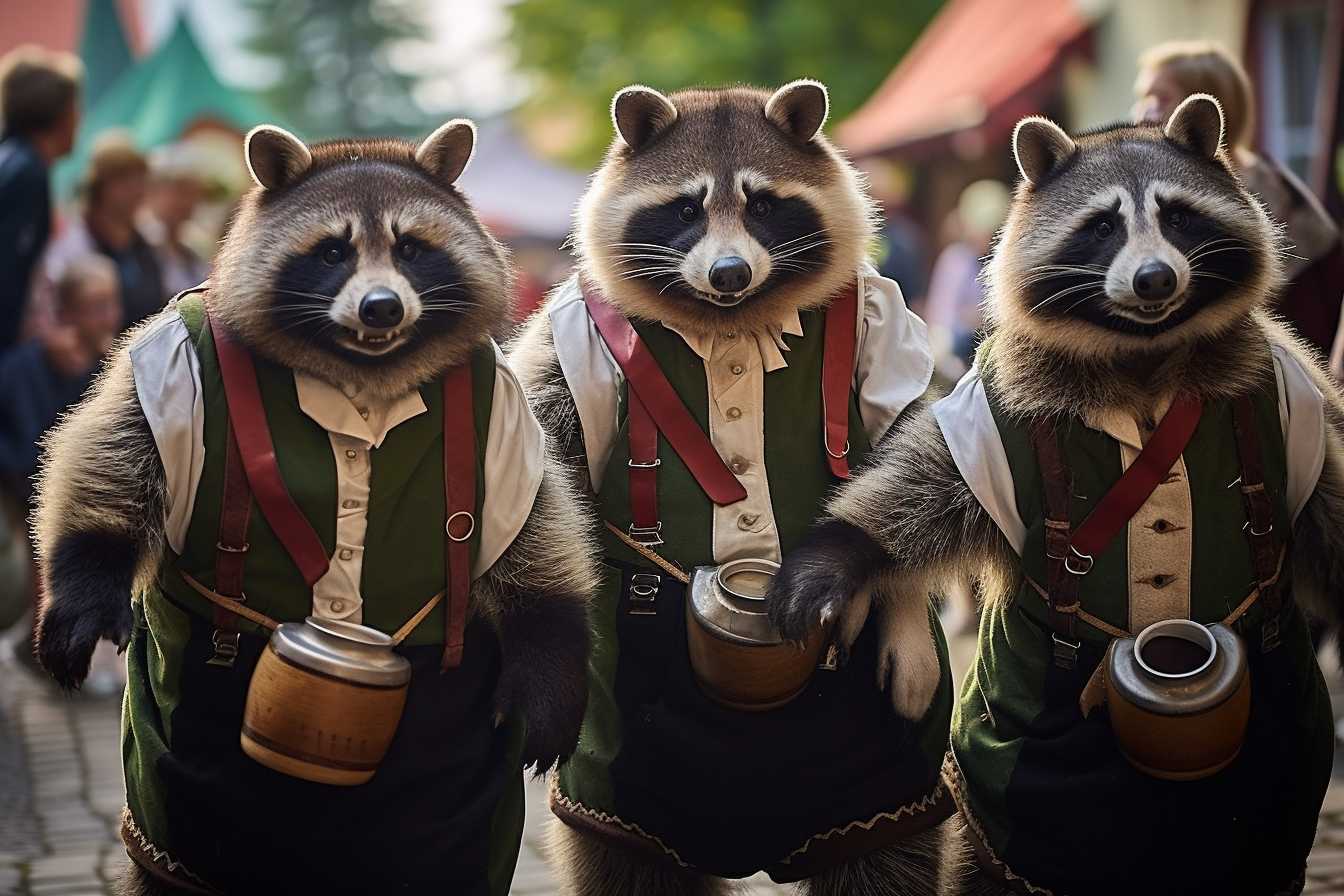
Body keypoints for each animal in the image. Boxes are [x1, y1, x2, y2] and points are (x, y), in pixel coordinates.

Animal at [34, 120, 599, 896]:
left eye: (411, 249)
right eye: (333, 251)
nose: (382, 307)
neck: (362, 369)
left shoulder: (506, 406)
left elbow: (533, 525)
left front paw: (549, 655)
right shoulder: (167, 358)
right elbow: (115, 456)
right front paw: (89, 576)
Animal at [505, 80, 956, 891]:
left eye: (763, 205)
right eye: (686, 208)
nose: (728, 273)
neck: (731, 322)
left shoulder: (883, 315)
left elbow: (913, 431)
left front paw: (891, 597)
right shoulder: (569, 337)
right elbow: (539, 465)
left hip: (874, 785)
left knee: (884, 854)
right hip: (625, 789)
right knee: (625, 859)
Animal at [774, 92, 1344, 896]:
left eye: (1177, 216)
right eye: (1103, 225)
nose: (1156, 280)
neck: (1144, 358)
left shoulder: (1300, 395)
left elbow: (1329, 511)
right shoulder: (995, 408)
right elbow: (923, 484)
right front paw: (845, 552)